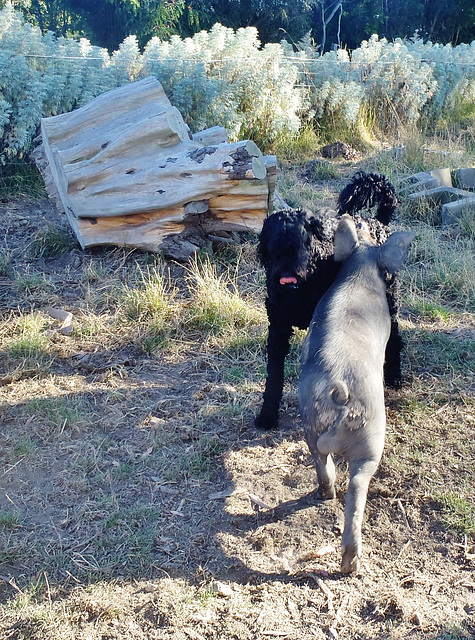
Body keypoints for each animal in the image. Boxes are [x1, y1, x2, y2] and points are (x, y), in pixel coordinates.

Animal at [258, 171, 404, 430]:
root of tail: (379, 223)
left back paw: (394, 376)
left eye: (302, 242)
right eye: (273, 244)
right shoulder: (278, 329)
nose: (287, 274)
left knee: (395, 340)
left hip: (390, 301)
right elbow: (274, 375)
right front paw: (267, 414)